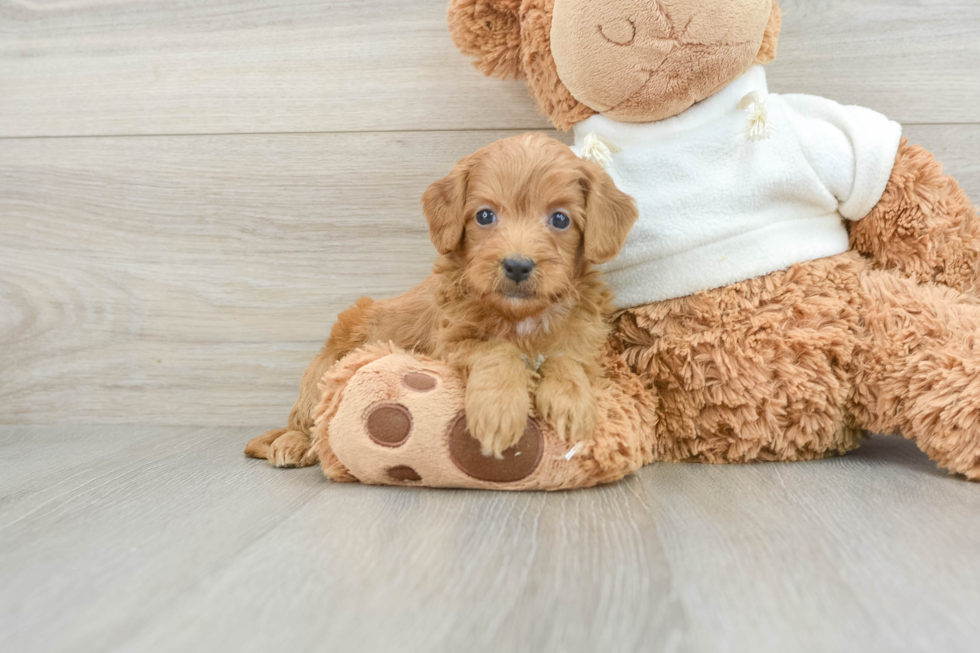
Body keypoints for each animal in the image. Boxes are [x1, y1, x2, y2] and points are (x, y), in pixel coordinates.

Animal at [247, 134, 636, 468]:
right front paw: (499, 409)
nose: (517, 265)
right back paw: (293, 442)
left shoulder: (583, 341)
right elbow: (497, 350)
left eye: (560, 219)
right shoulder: (447, 344)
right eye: (485, 215)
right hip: (327, 364)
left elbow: (566, 360)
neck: (521, 316)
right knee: (308, 416)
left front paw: (571, 402)